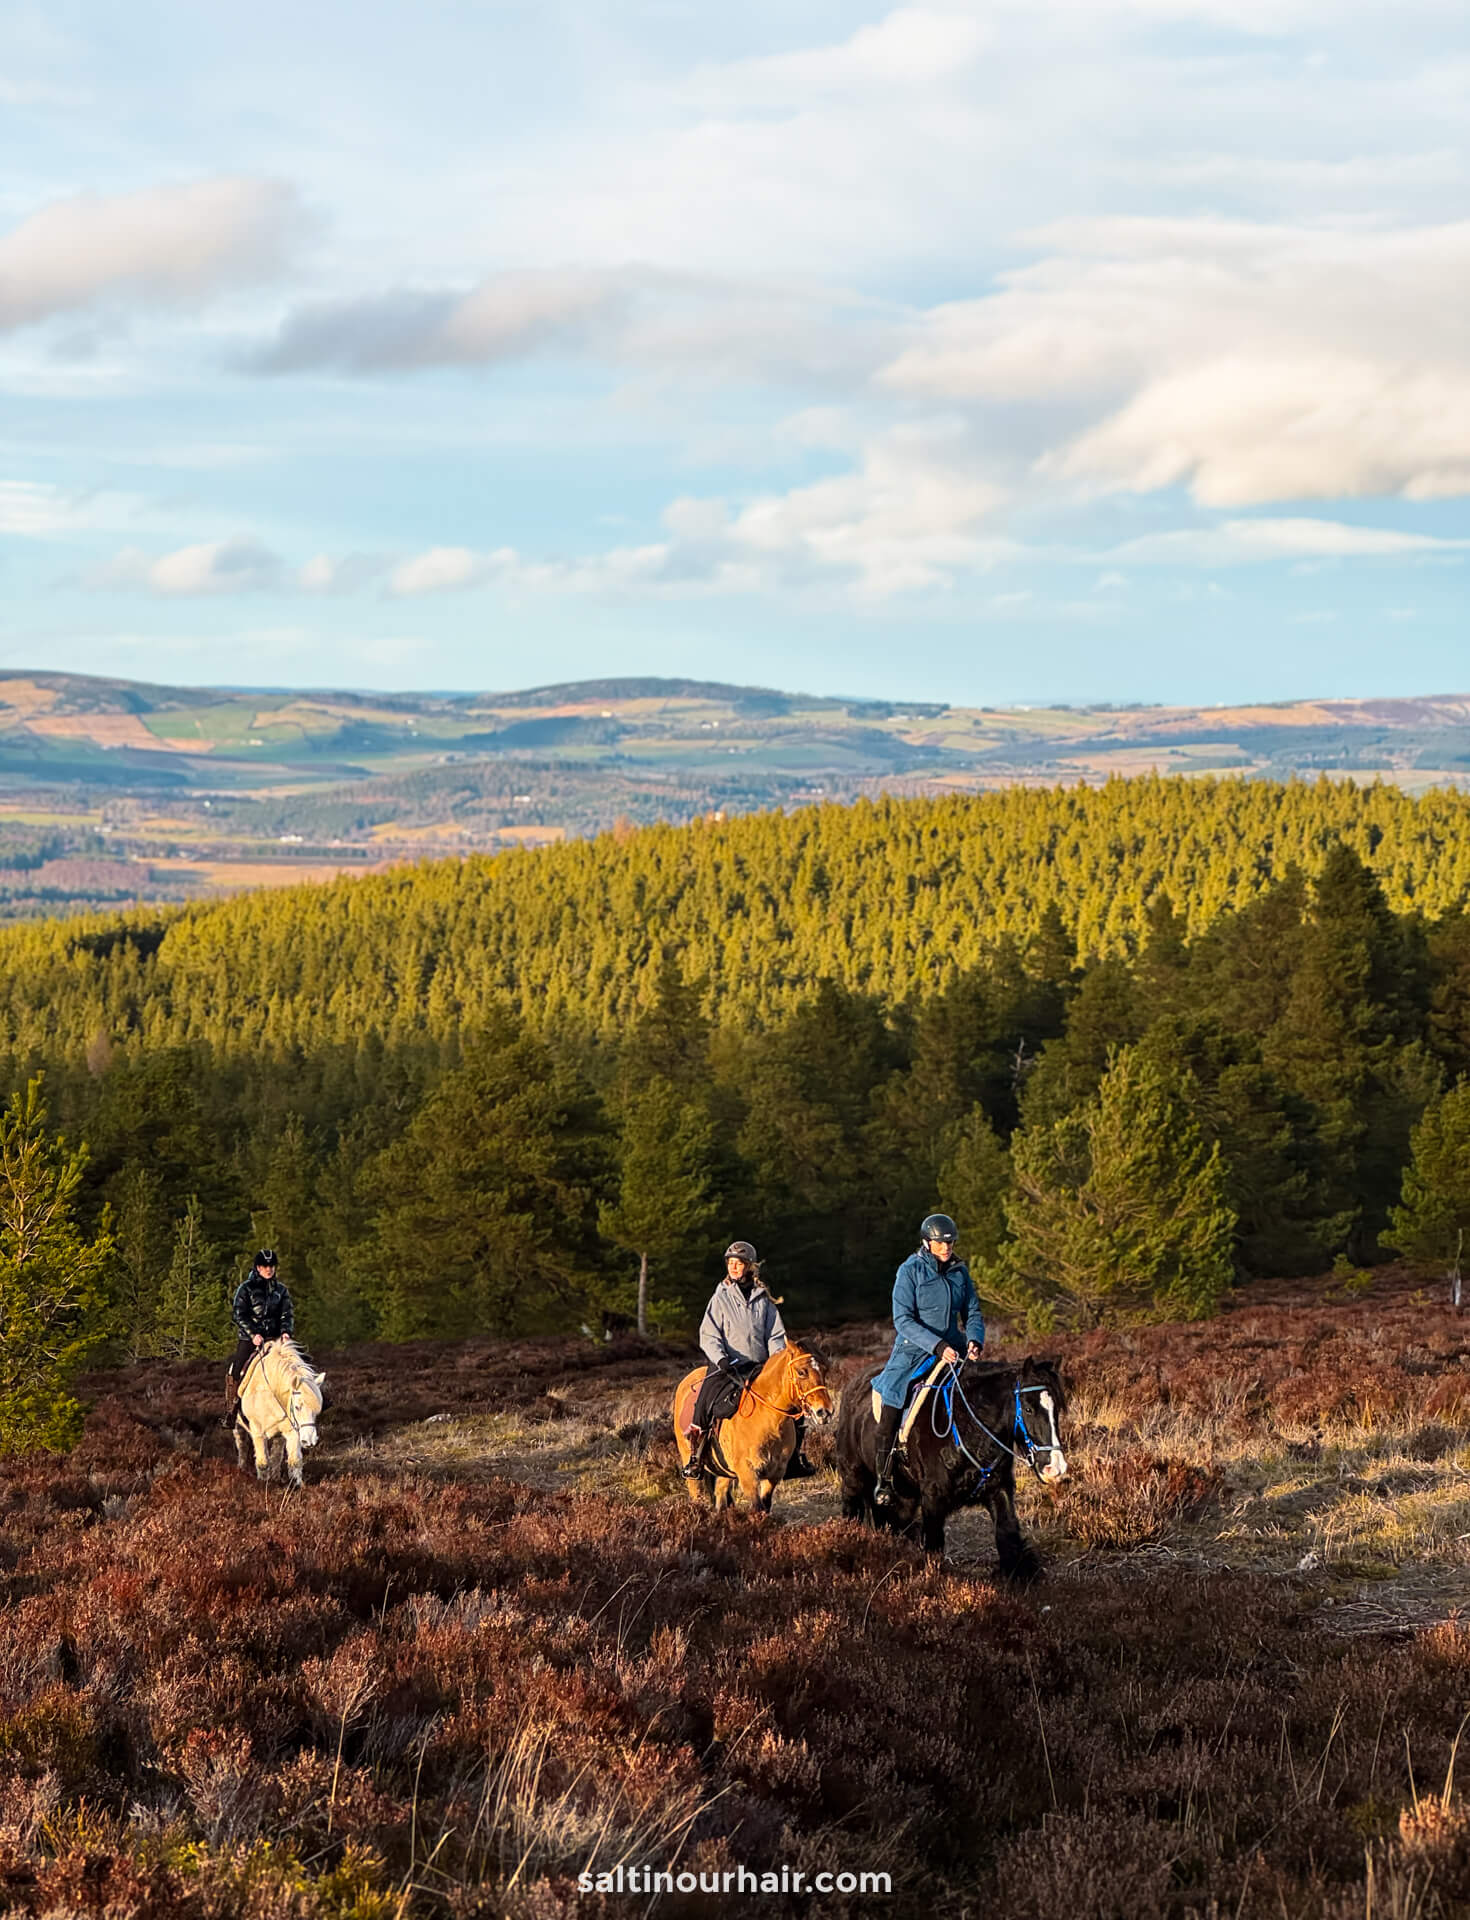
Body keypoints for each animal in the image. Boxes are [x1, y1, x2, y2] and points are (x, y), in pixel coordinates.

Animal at [233, 1344, 328, 1489]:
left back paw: (275, 1477)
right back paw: (242, 1469)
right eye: (297, 1407)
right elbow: (263, 1462)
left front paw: (297, 1486)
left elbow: (295, 1461)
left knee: (277, 1455)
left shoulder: (293, 1432)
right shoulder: (258, 1433)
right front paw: (262, 1485)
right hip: (238, 1425)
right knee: (242, 1443)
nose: (309, 1441)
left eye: (316, 1411)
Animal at [675, 1344, 836, 1505]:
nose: (825, 1411)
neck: (768, 1422)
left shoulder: (774, 1474)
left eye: (824, 1370)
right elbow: (757, 1507)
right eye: (801, 1372)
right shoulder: (747, 1474)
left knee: (720, 1493)